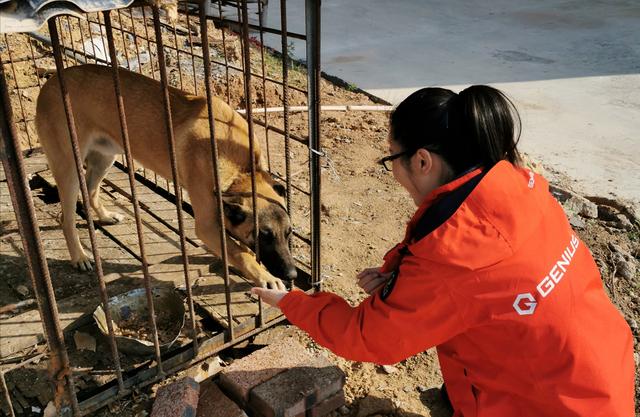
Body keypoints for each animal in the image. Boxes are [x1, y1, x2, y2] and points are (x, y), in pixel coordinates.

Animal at [35, 64, 296, 290]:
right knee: (65, 216)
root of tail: (51, 81)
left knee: (90, 191)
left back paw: (105, 216)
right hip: (69, 166)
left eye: (289, 233)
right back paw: (79, 256)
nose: (292, 274)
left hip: (104, 158)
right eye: (264, 236)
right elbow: (237, 252)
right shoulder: (206, 226)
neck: (241, 170)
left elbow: (237, 244)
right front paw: (264, 277)